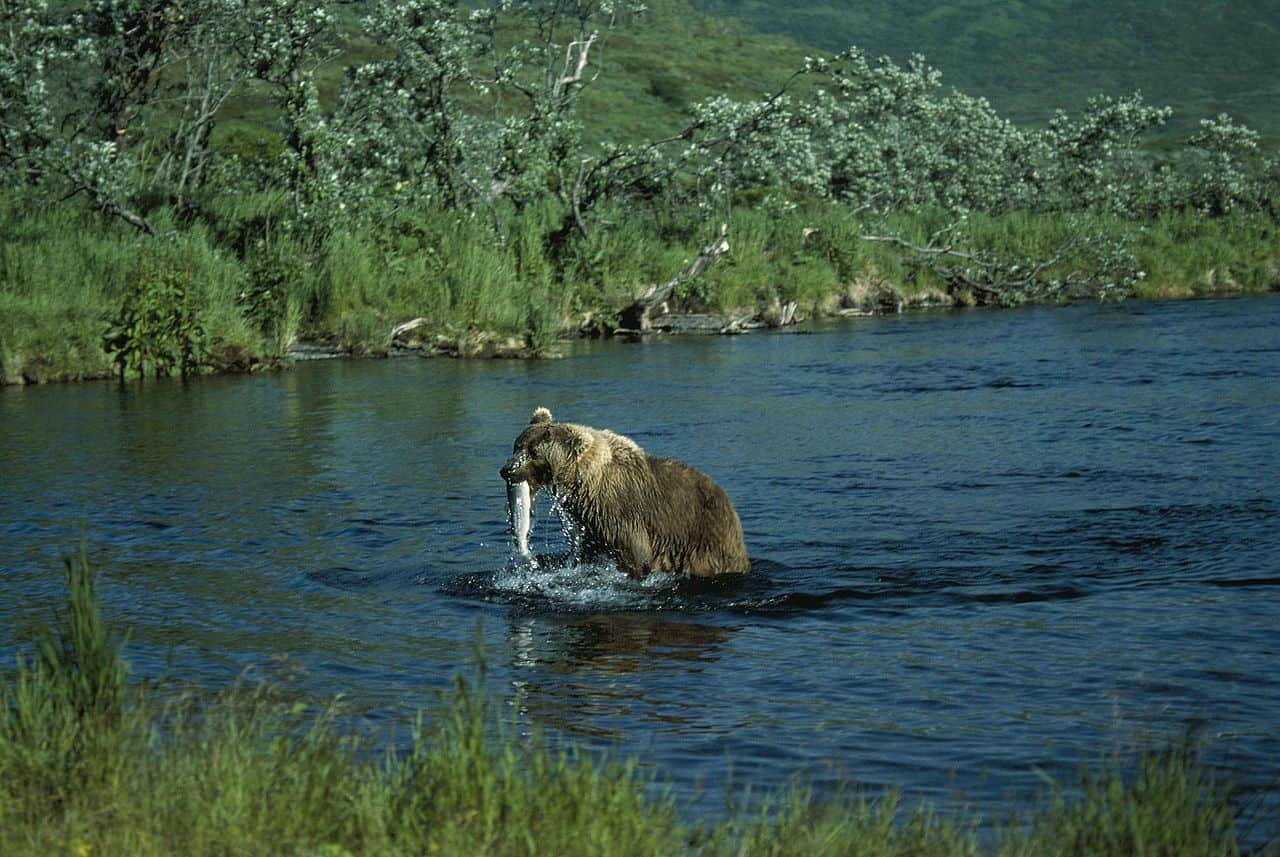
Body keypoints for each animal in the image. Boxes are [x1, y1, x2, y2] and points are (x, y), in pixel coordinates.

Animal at [499, 406, 747, 580]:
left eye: (533, 452)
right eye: (517, 445)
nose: (507, 470)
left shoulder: (621, 512)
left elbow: (634, 554)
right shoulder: (590, 524)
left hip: (704, 535)